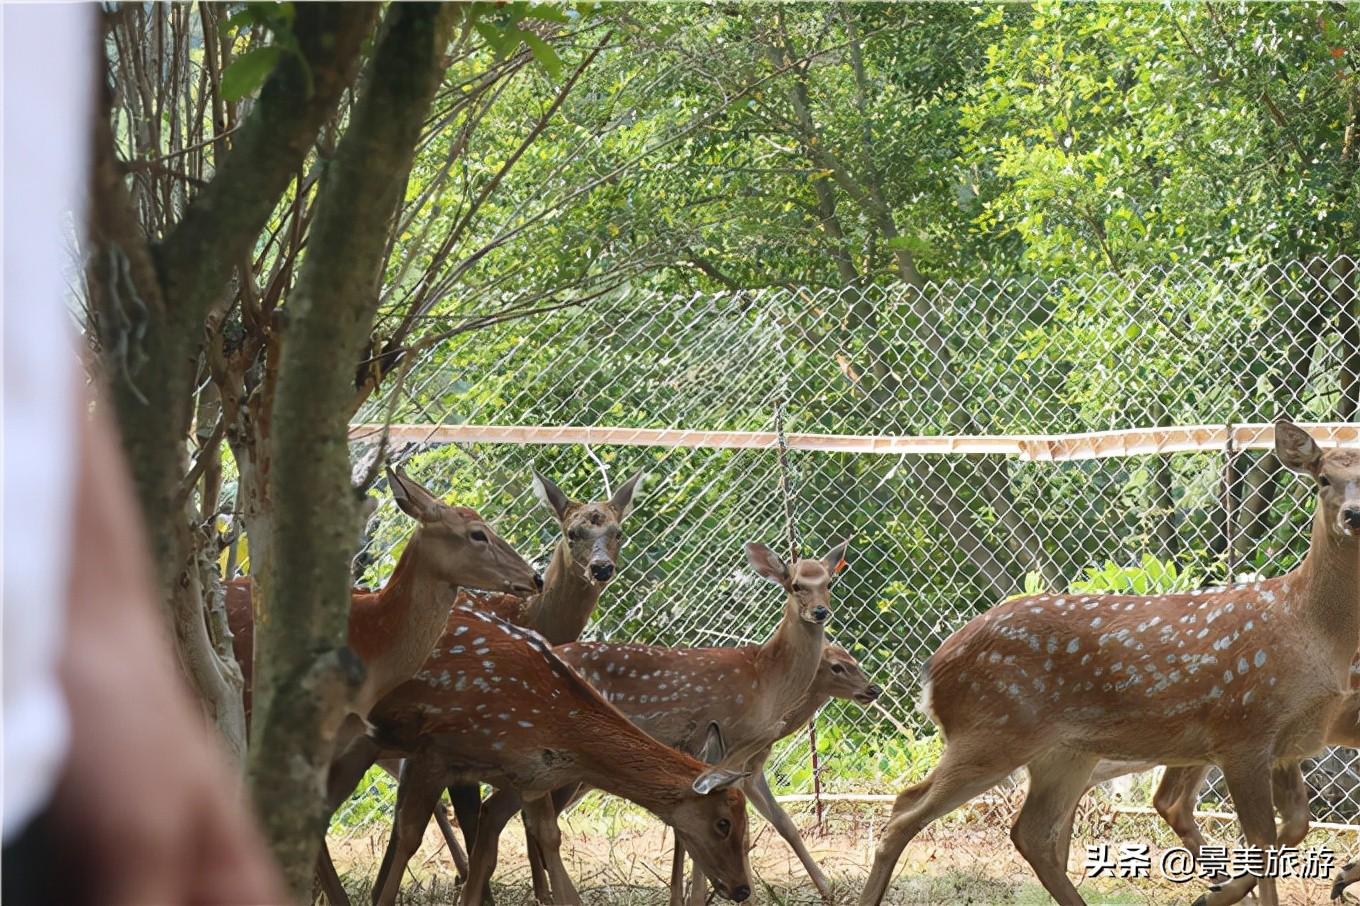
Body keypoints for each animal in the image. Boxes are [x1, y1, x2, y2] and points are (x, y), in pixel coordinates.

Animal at [361, 606, 756, 903]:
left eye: (746, 820)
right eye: (723, 823)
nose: (742, 888)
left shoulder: (533, 777)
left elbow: (542, 839)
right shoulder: (433, 753)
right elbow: (410, 835)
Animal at [859, 418, 1360, 903]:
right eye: (1322, 479)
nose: (1352, 514)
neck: (1306, 626)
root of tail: (933, 671)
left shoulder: (1288, 744)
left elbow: (1293, 827)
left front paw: (1222, 890)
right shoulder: (1244, 731)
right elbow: (1262, 841)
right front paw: (1219, 892)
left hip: (1063, 751)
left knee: (1033, 833)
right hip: (991, 732)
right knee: (906, 810)